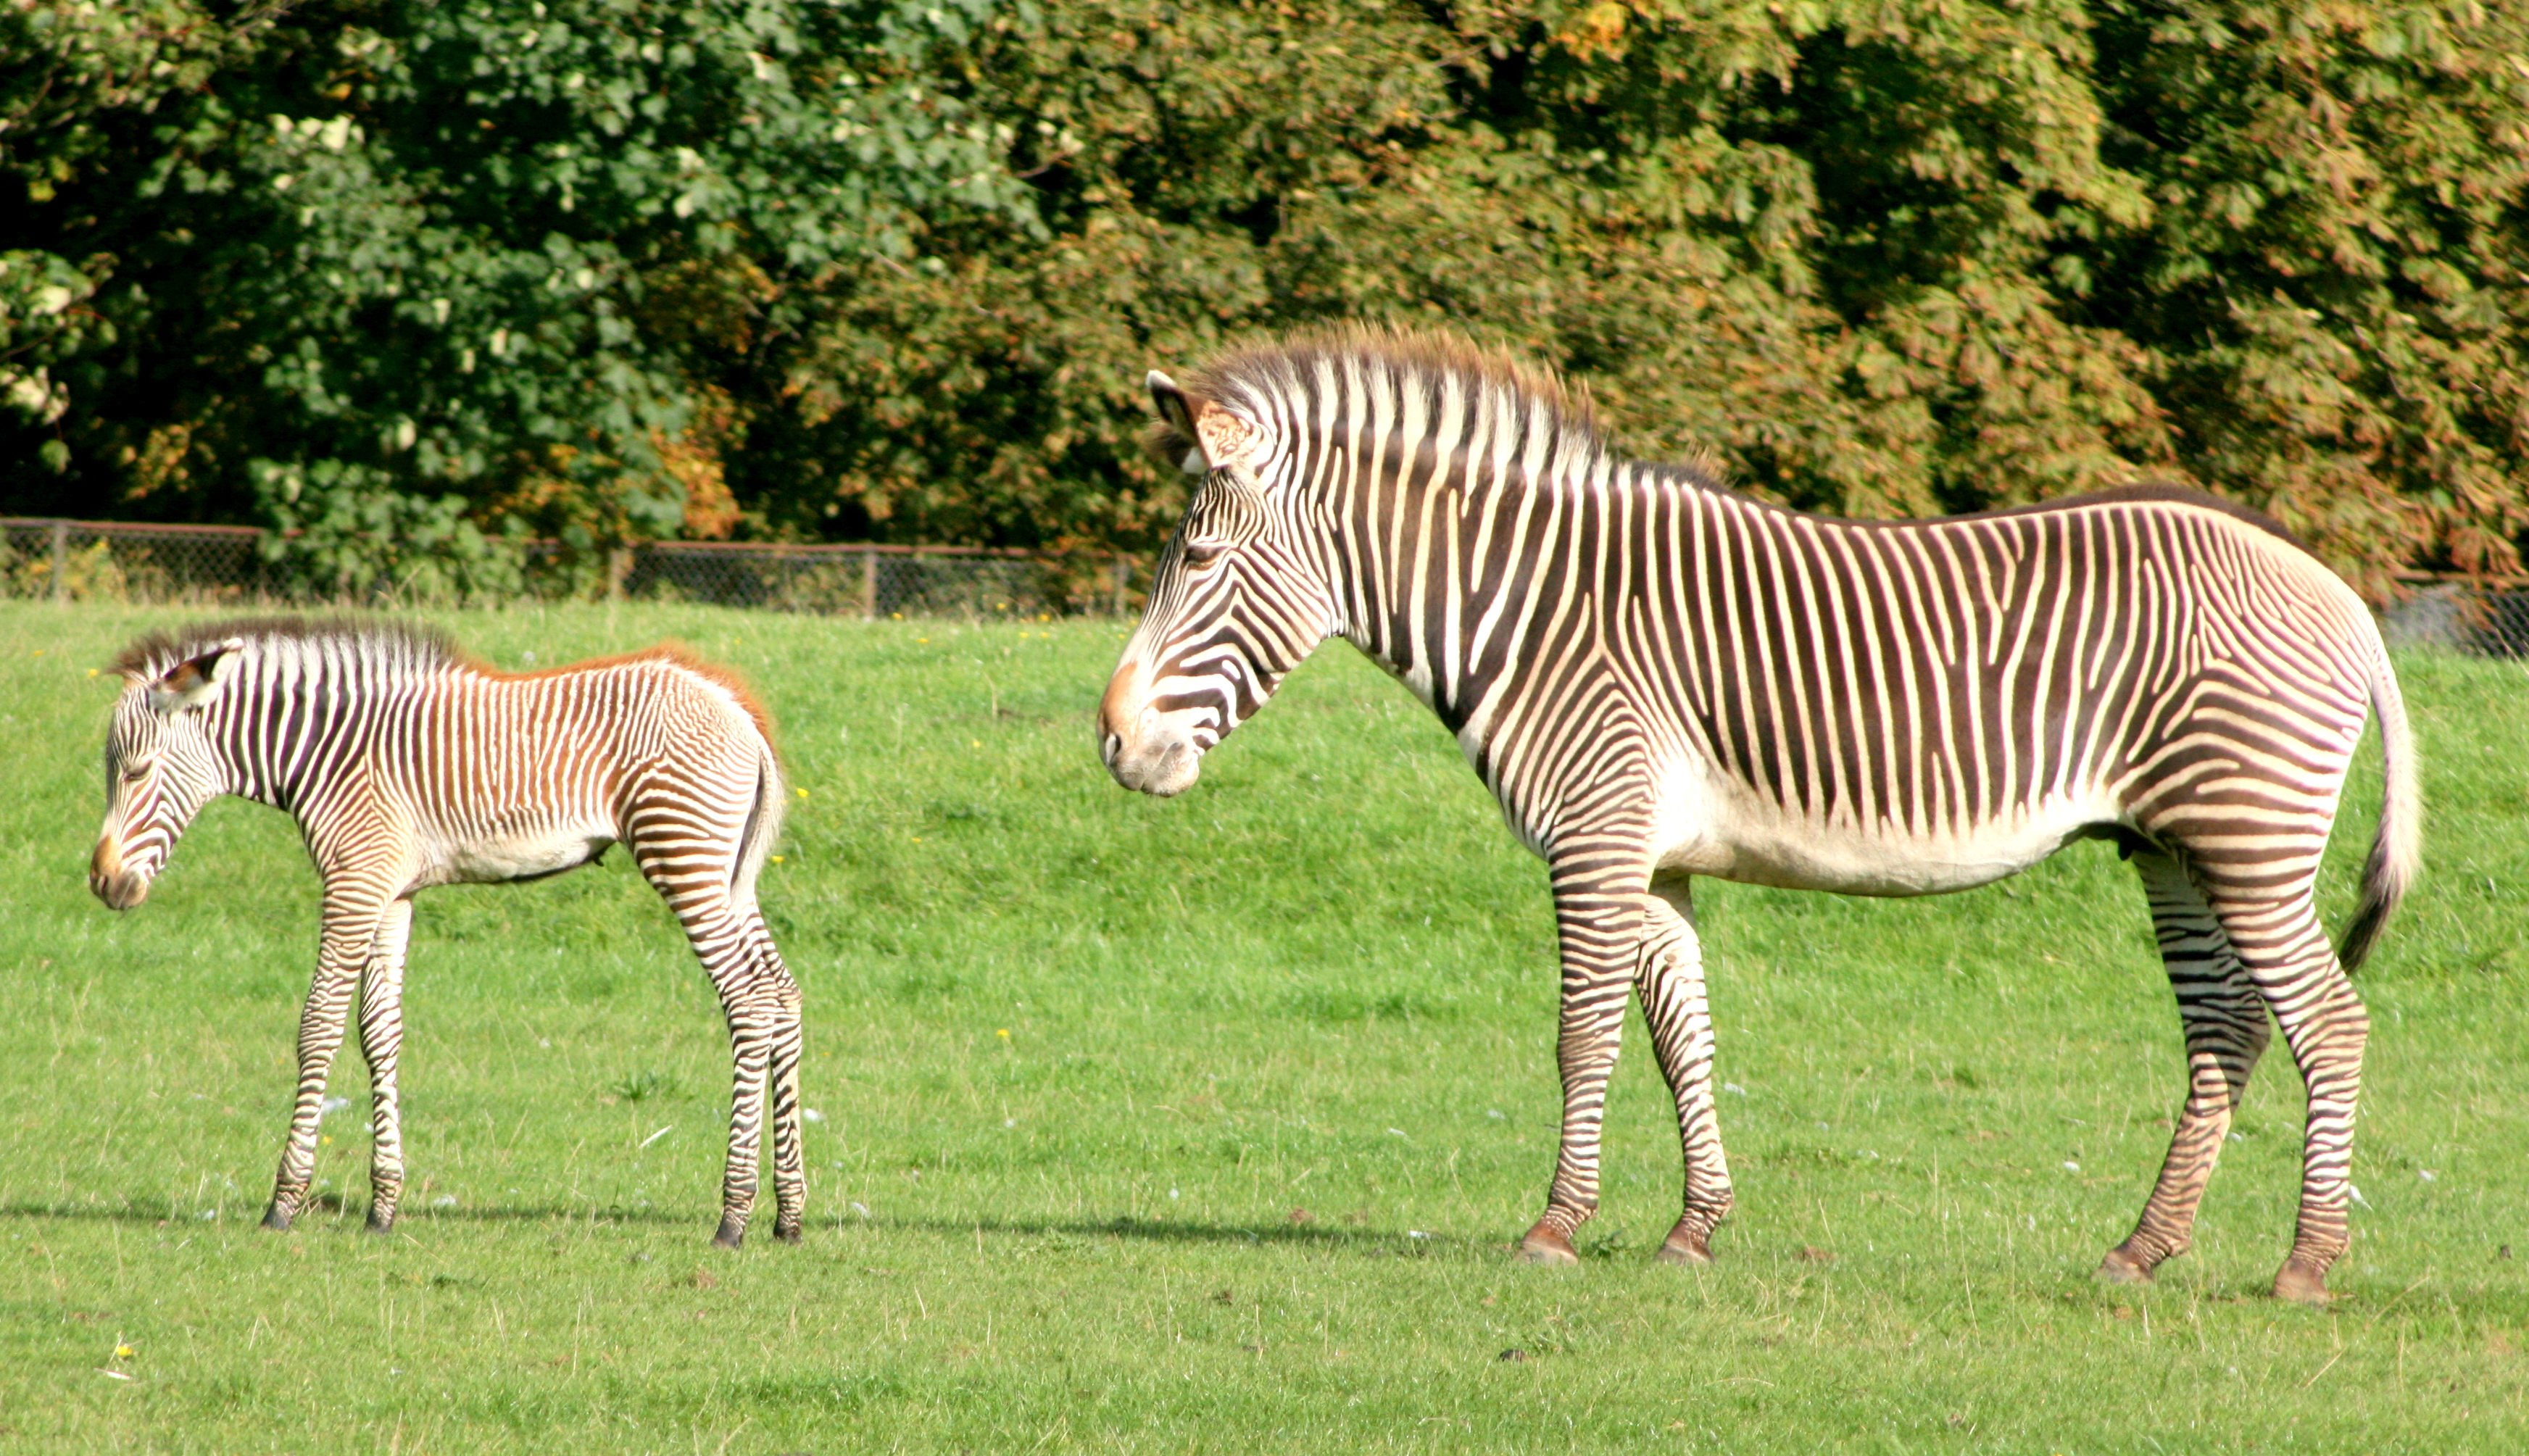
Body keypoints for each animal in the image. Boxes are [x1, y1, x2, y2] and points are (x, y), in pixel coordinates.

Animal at [89, 617, 806, 1247]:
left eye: (138, 771)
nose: (103, 882)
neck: (328, 753)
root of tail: (736, 708)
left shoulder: (354, 880)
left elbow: (319, 1024)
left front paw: (284, 1202)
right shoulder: (391, 891)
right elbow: (379, 1032)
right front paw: (382, 1207)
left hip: (683, 857)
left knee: (748, 999)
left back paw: (733, 1216)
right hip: (729, 875)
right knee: (782, 994)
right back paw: (788, 1214)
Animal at [1096, 329, 2418, 1303]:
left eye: (1197, 560)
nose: (1110, 742)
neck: (1531, 611)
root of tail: (2338, 594)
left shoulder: (1592, 834)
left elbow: (1582, 1036)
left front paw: (1553, 1227)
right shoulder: (1651, 857)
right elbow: (1681, 1036)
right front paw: (1694, 1226)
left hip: (2244, 838)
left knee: (2330, 1023)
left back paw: (2305, 1263)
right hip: (2173, 847)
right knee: (2225, 1031)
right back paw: (2142, 1247)